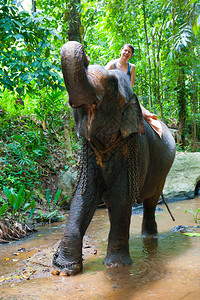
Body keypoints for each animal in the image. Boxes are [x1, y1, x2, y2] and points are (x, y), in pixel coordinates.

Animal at [51, 41, 175, 276]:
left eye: (111, 86)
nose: (86, 57)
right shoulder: (89, 155)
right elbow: (83, 196)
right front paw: (62, 270)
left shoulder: (134, 149)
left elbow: (121, 196)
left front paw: (116, 266)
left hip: (163, 172)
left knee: (150, 201)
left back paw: (149, 237)